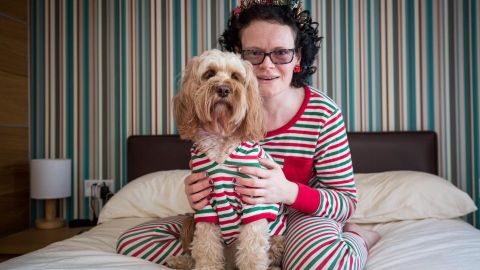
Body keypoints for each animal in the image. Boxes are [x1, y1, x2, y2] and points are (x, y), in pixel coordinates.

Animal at [168, 49, 284, 270]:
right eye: (209, 74)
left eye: (236, 77)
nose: (223, 89)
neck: (221, 135)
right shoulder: (205, 204)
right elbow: (206, 248)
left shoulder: (253, 200)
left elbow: (252, 252)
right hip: (190, 222)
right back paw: (179, 260)